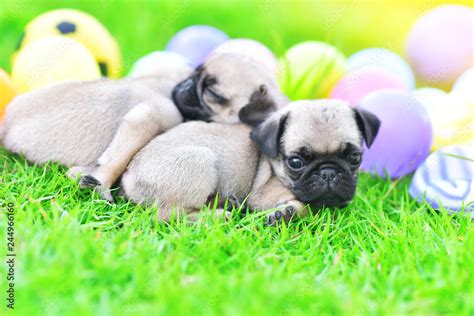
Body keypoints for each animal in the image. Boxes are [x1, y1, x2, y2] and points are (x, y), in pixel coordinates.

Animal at [0, 52, 286, 199]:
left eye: (213, 93)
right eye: (195, 76)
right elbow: (117, 158)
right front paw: (101, 185)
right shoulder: (153, 115)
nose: (185, 85)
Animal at [119, 99, 382, 225]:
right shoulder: (262, 194)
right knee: (167, 216)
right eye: (296, 162)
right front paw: (285, 213)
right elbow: (306, 207)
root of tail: (130, 175)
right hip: (201, 160)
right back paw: (218, 215)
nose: (328, 172)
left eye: (355, 158)